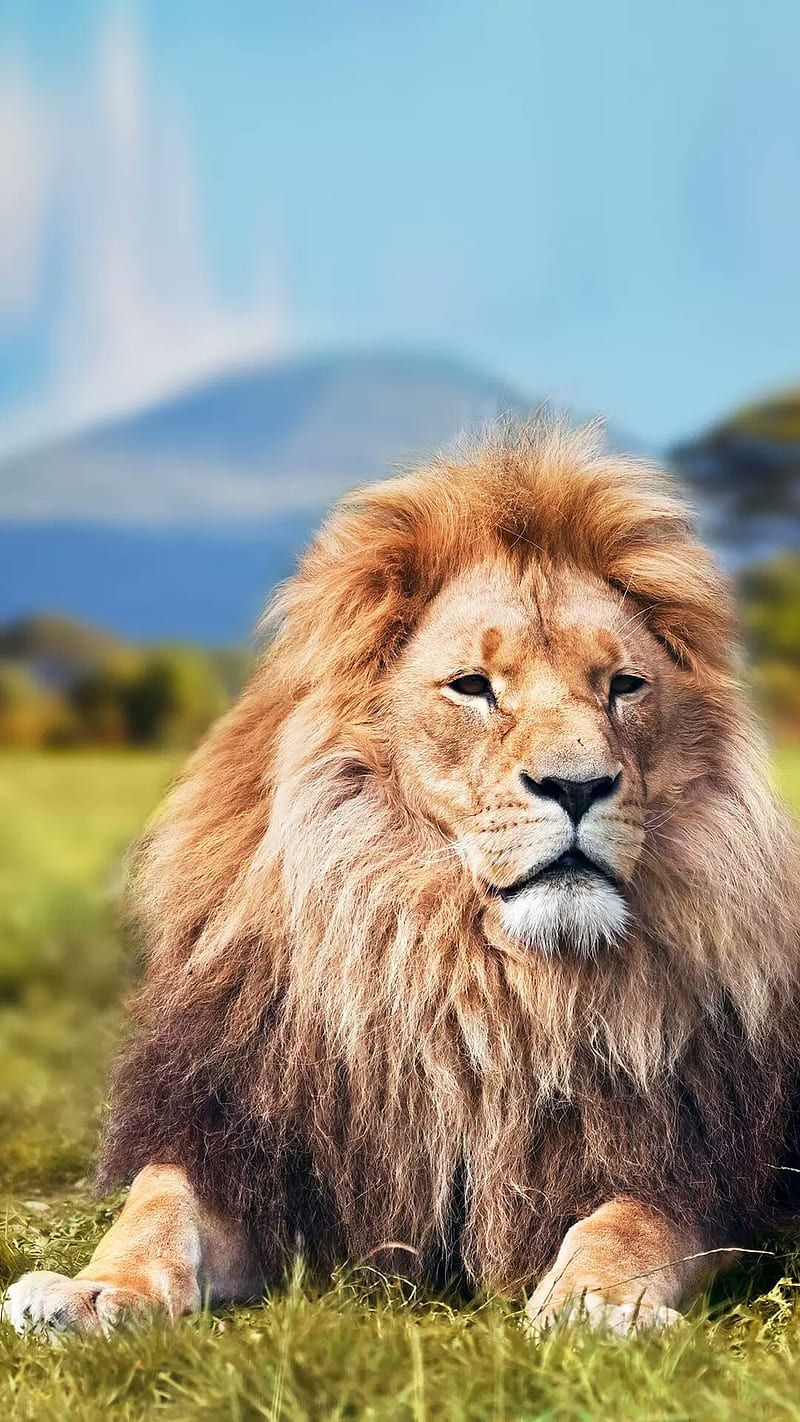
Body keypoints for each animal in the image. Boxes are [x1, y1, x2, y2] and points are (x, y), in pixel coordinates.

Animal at [6, 418, 800, 1337]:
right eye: (473, 687)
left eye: (624, 686)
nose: (577, 786)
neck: (470, 974)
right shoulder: (251, 1141)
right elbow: (157, 1208)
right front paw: (91, 1291)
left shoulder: (695, 1165)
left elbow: (631, 1224)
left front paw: (595, 1303)